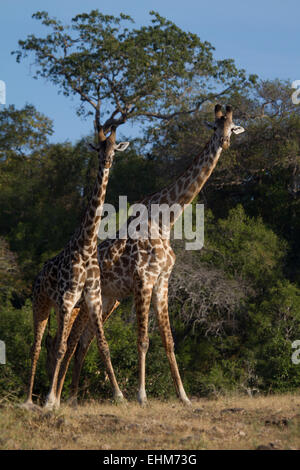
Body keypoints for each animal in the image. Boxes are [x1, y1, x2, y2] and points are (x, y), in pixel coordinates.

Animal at [21, 126, 128, 410]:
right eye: (99, 148)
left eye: (114, 149)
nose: (106, 161)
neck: (87, 244)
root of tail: (37, 276)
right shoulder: (68, 299)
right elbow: (60, 349)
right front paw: (49, 400)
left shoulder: (93, 298)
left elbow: (103, 345)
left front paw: (120, 396)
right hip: (41, 303)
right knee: (37, 346)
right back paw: (29, 400)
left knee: (55, 344)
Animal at [46, 103, 244, 408]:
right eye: (214, 127)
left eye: (232, 127)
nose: (224, 142)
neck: (165, 220)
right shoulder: (143, 279)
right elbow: (142, 339)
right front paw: (142, 396)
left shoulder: (162, 281)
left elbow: (168, 341)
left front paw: (184, 397)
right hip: (82, 300)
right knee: (68, 341)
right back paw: (58, 398)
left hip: (107, 300)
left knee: (82, 342)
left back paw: (72, 399)